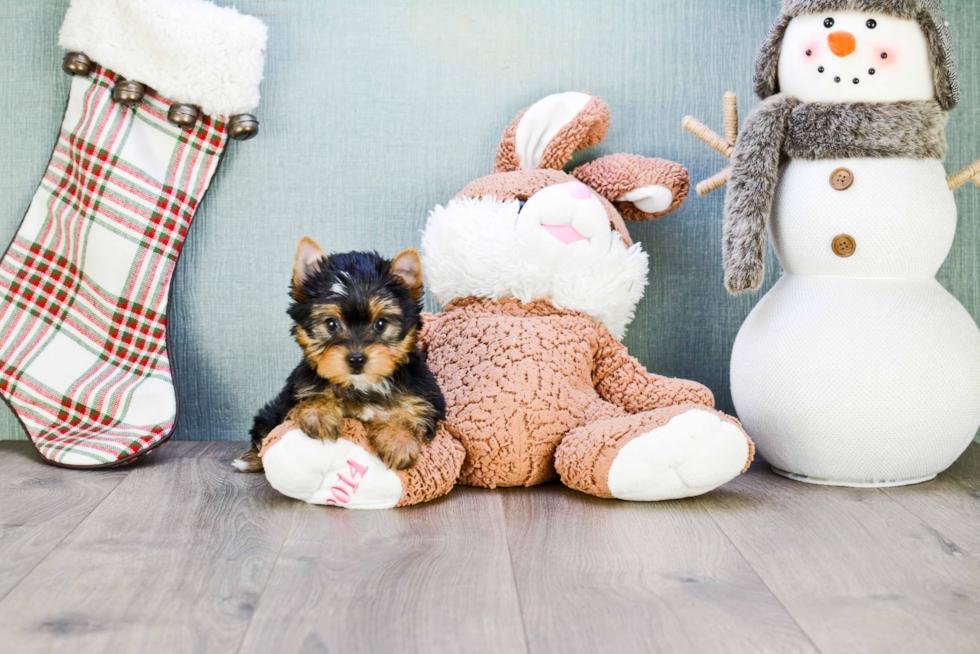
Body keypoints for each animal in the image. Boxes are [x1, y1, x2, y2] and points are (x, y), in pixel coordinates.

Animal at [235, 238, 450, 474]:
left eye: (381, 324)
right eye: (331, 324)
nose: (356, 359)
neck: (361, 386)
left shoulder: (423, 398)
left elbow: (405, 414)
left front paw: (398, 440)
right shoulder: (295, 392)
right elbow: (315, 392)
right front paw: (320, 412)